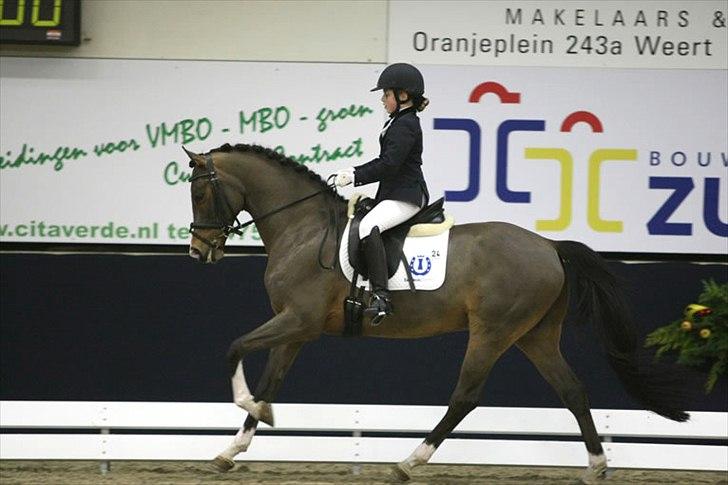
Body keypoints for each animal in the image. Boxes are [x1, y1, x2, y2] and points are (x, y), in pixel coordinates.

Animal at [184, 143, 688, 484]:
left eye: (201, 195)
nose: (198, 251)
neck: (304, 229)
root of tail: (550, 246)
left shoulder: (298, 320)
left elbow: (234, 349)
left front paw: (251, 410)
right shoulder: (294, 328)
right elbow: (271, 381)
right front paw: (233, 447)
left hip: (493, 331)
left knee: (465, 395)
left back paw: (409, 462)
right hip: (536, 336)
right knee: (573, 390)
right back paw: (597, 466)